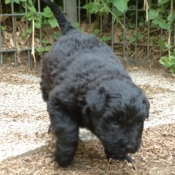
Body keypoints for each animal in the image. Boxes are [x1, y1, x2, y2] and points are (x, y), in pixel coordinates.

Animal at [40, 0, 149, 167]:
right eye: (115, 123)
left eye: (138, 122)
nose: (130, 147)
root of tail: (73, 32)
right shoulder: (58, 102)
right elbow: (68, 132)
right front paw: (63, 157)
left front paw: (117, 156)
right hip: (46, 83)